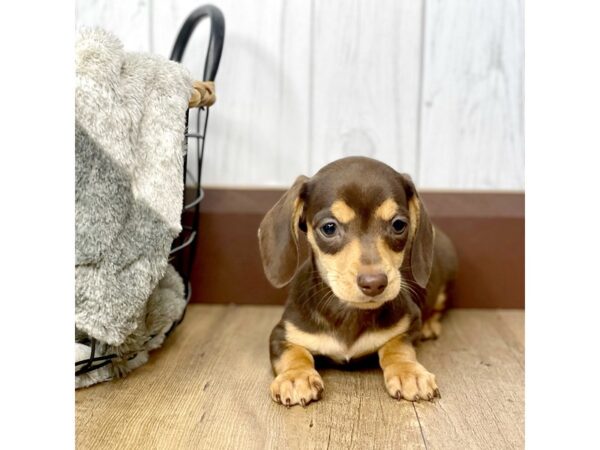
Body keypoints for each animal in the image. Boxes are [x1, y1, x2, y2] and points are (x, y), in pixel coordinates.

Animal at [255, 157, 458, 408]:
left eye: (399, 225)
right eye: (329, 227)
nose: (374, 283)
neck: (348, 313)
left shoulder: (409, 324)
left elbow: (397, 346)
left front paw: (409, 373)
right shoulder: (282, 334)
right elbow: (293, 352)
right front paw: (296, 376)